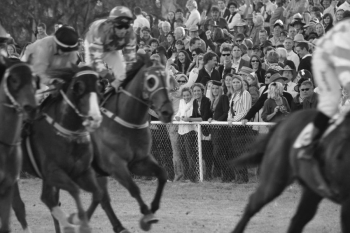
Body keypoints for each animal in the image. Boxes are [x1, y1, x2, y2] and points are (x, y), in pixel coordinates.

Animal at [15, 66, 102, 233]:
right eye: (78, 87)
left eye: (99, 85)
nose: (94, 118)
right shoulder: (53, 172)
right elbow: (72, 191)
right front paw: (74, 220)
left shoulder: (82, 171)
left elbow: (97, 193)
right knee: (19, 206)